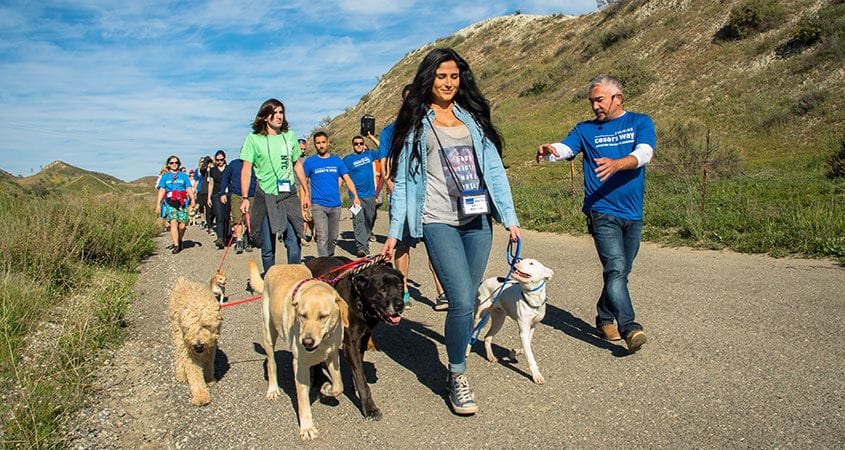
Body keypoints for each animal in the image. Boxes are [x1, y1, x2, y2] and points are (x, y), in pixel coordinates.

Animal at [166, 278, 221, 408]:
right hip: (177, 335)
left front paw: (209, 379)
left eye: (205, 325)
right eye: (189, 328)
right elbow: (194, 373)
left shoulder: (211, 348)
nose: (198, 345)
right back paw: (181, 374)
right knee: (178, 355)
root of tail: (182, 281)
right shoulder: (189, 351)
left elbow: (209, 363)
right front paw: (201, 396)